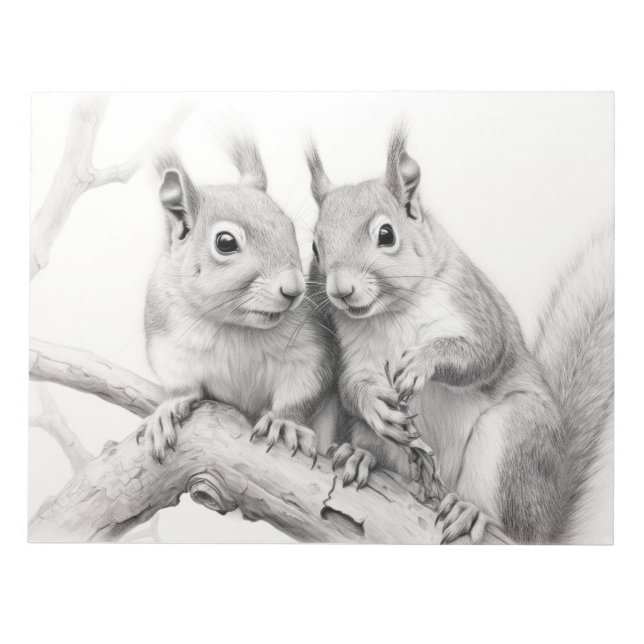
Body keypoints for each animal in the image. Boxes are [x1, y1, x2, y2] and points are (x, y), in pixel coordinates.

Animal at [137, 138, 339, 464]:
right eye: (226, 242)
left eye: (289, 228)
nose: (294, 289)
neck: (235, 325)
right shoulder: (167, 341)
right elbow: (181, 384)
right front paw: (168, 410)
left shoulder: (310, 347)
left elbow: (304, 387)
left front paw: (286, 423)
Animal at [305, 127, 614, 544]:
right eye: (315, 246)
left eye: (386, 234)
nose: (340, 290)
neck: (390, 313)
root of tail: (549, 517)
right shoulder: (353, 348)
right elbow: (351, 381)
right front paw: (373, 403)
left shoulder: (473, 305)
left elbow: (482, 353)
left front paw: (422, 361)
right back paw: (359, 455)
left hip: (513, 438)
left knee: (511, 523)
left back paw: (472, 512)